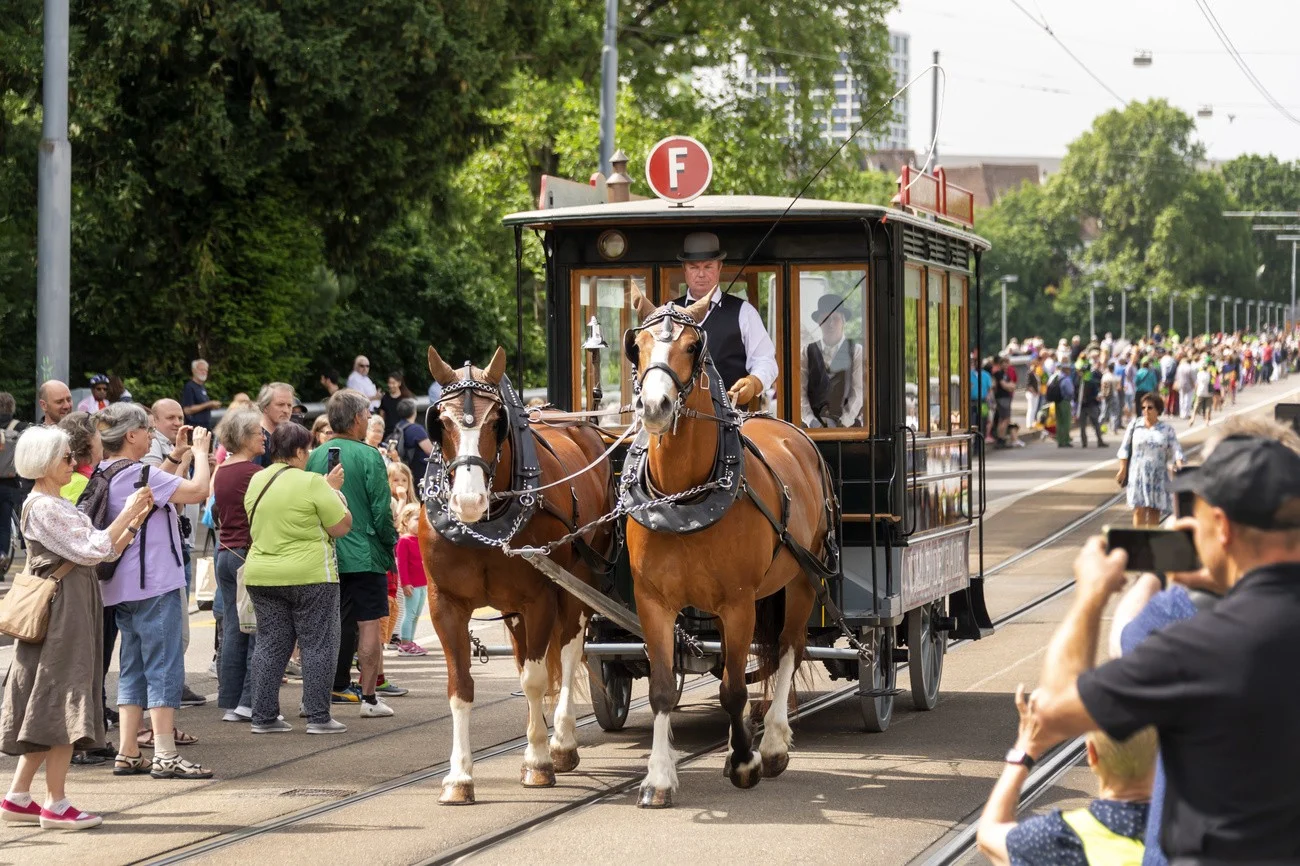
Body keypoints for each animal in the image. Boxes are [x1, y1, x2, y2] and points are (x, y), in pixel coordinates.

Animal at [418, 343, 616, 800]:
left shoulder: (539, 598)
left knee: (570, 647)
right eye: (440, 422)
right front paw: (459, 778)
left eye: (496, 422)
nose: (467, 501)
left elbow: (535, 679)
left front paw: (539, 761)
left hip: (579, 582)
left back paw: (561, 743)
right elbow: (460, 687)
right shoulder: (445, 604)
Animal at [621, 288, 826, 800]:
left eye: (694, 346)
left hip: (802, 579)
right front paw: (659, 777)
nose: (655, 407)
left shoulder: (738, 603)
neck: (683, 497)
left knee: (789, 648)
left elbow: (733, 689)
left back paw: (772, 743)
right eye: (637, 346)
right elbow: (661, 688)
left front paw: (744, 760)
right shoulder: (652, 602)